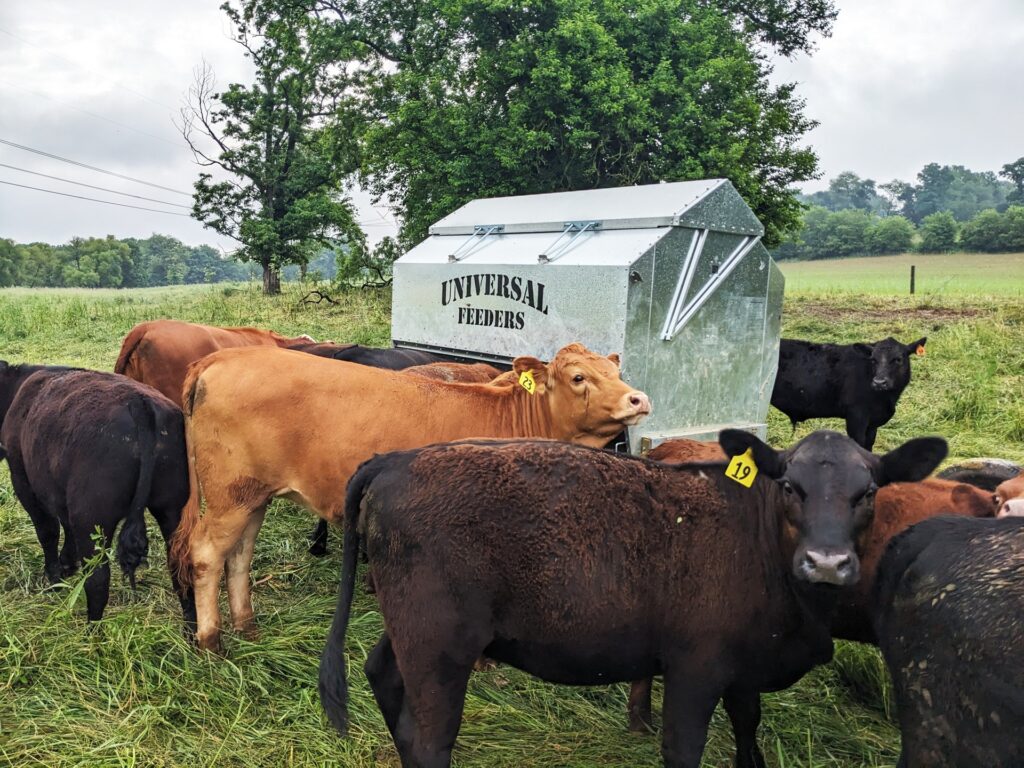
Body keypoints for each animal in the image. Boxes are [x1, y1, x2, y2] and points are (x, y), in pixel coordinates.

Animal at [0, 363, 194, 624]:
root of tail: (140, 403)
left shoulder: (24, 480)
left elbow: (48, 531)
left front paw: (54, 578)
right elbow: (65, 527)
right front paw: (66, 564)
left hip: (92, 516)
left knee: (98, 580)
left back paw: (92, 632)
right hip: (172, 508)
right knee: (182, 570)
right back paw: (193, 632)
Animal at [170, 342, 651, 653]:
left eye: (616, 372)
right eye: (578, 377)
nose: (638, 398)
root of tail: (221, 357)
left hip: (253, 496)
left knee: (239, 558)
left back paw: (248, 629)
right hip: (231, 496)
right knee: (207, 555)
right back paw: (211, 644)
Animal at [318, 429, 947, 768]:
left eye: (869, 493)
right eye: (791, 486)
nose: (827, 563)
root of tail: (395, 459)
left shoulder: (744, 665)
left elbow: (748, 730)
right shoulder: (696, 667)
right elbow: (683, 747)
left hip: (410, 625)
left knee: (382, 674)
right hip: (439, 644)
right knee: (429, 738)